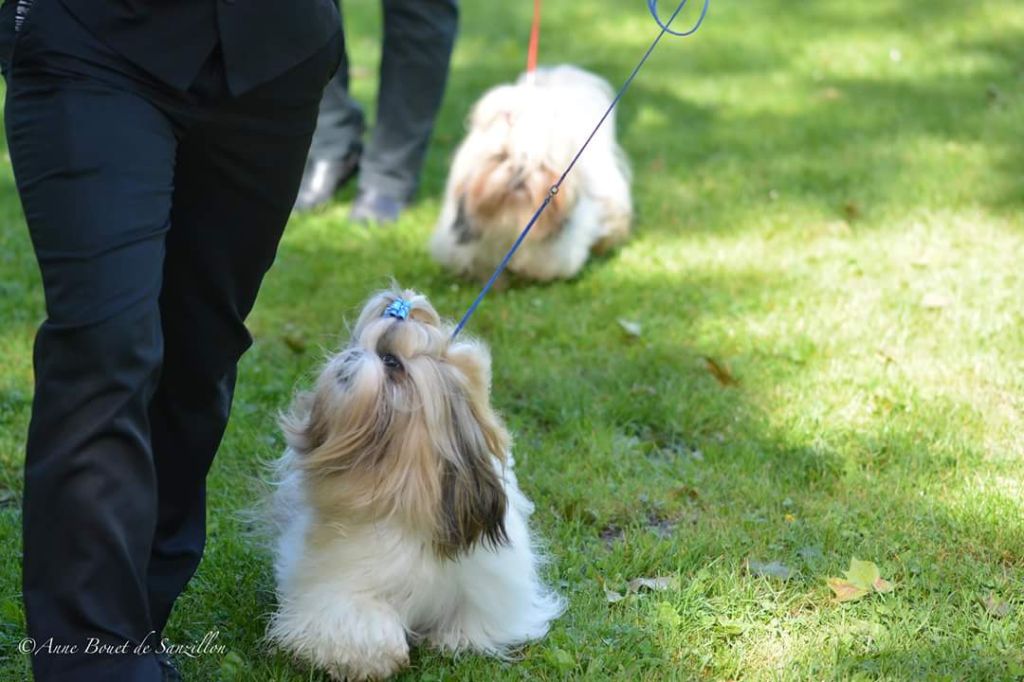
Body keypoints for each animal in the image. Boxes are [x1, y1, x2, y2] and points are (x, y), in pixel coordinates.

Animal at [268, 288, 565, 679]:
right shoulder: (339, 583)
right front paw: (373, 656)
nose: (352, 355)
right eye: (357, 344)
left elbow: (475, 614)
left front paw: (458, 639)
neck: (402, 490)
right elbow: (356, 619)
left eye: (391, 361)